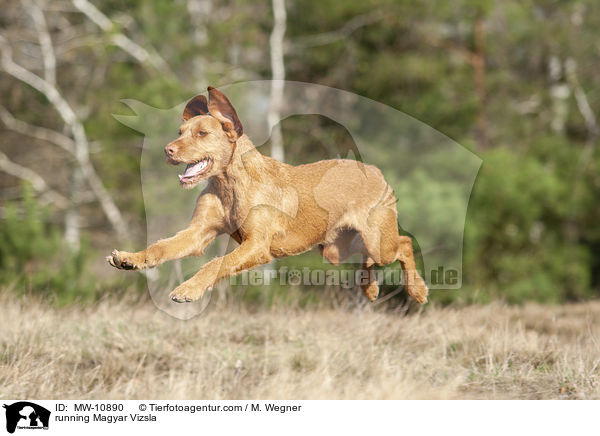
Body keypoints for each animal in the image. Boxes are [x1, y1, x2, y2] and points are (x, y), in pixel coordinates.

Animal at [106, 85, 426, 304]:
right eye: (180, 131)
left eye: (202, 134)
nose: (167, 150)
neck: (230, 184)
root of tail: (372, 169)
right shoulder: (197, 234)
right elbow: (159, 248)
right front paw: (130, 258)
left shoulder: (257, 245)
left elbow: (215, 263)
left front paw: (189, 288)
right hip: (337, 249)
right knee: (369, 258)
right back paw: (370, 287)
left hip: (378, 241)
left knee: (404, 243)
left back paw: (418, 289)